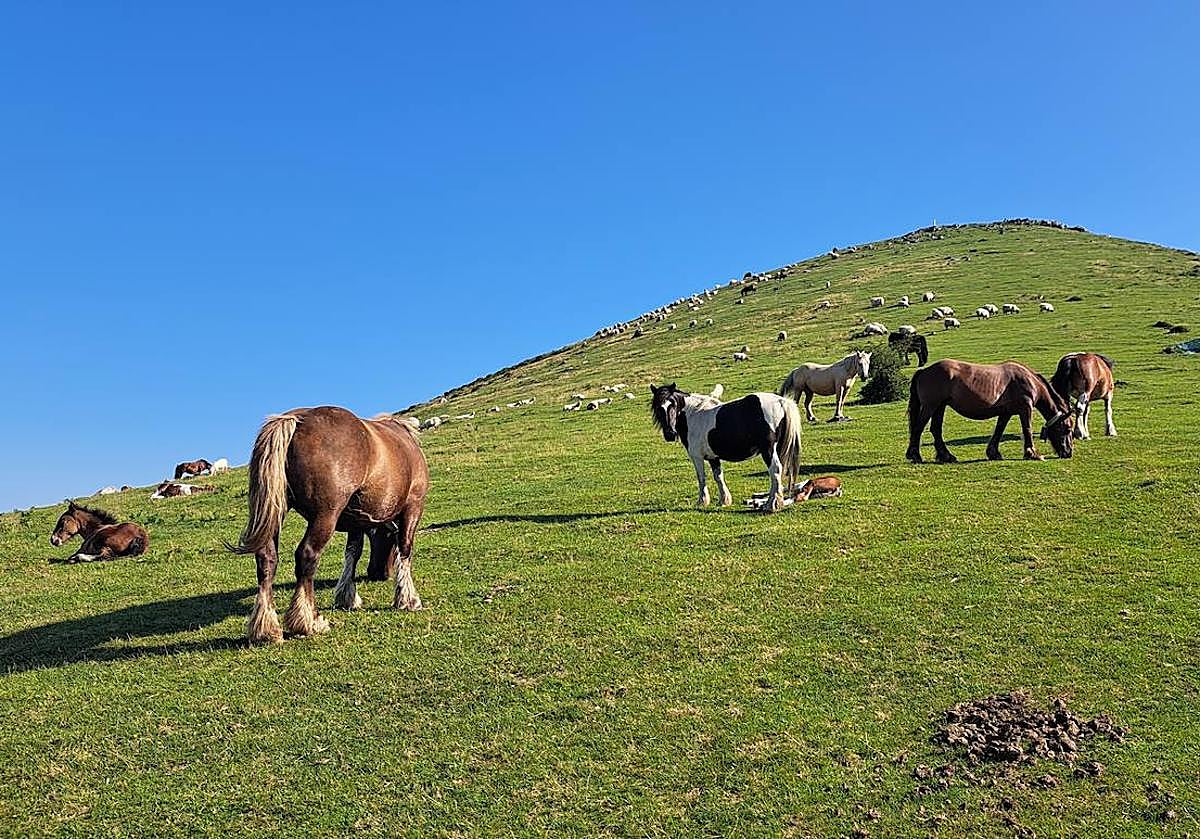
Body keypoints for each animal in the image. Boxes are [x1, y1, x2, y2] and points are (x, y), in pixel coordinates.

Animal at [229, 406, 429, 644]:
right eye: (386, 539)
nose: (378, 573)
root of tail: (295, 420)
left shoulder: (356, 519)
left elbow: (352, 553)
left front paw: (347, 596)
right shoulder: (413, 506)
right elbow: (405, 548)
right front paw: (408, 599)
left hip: (276, 513)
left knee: (266, 560)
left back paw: (266, 628)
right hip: (325, 517)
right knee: (306, 556)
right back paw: (308, 621)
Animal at [650, 384, 802, 512]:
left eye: (673, 405)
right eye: (658, 407)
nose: (670, 434)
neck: (692, 415)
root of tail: (781, 401)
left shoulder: (697, 457)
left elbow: (701, 477)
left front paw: (702, 501)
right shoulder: (713, 457)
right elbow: (718, 477)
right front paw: (724, 500)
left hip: (768, 450)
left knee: (775, 470)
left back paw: (771, 504)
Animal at [906, 360, 1074, 463]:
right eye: (1067, 429)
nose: (1069, 452)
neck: (1029, 380)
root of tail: (924, 371)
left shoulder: (1006, 413)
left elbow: (998, 430)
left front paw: (993, 453)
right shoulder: (1025, 409)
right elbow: (1027, 429)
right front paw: (1032, 453)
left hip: (940, 407)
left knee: (936, 429)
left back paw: (946, 456)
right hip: (930, 406)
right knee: (918, 428)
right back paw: (915, 455)